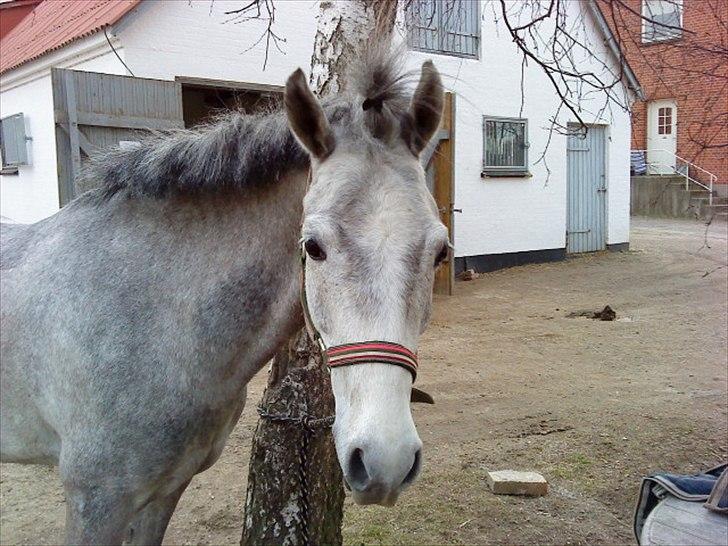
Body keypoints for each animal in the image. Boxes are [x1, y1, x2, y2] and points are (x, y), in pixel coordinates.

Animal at [0, 49, 446, 540]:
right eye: (314, 247)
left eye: (441, 252)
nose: (387, 462)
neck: (159, 320)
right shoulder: (95, 501)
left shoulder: (164, 493)